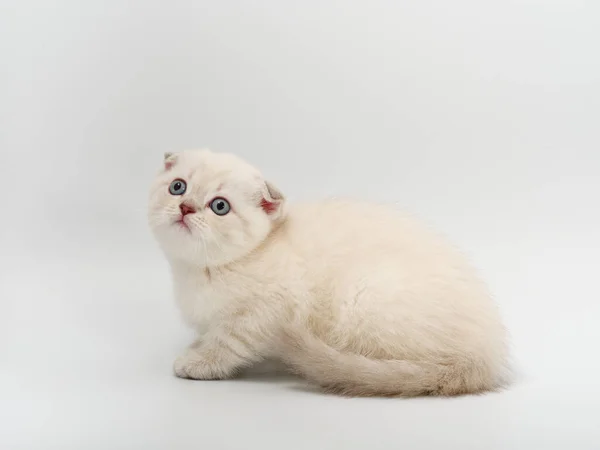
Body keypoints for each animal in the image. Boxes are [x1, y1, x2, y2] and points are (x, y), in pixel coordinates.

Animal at [148, 149, 508, 396]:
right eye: (178, 187)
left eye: (219, 206)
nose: (185, 207)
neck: (201, 270)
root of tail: (484, 357)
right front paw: (197, 346)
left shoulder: (265, 310)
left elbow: (228, 342)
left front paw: (199, 362)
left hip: (365, 296)